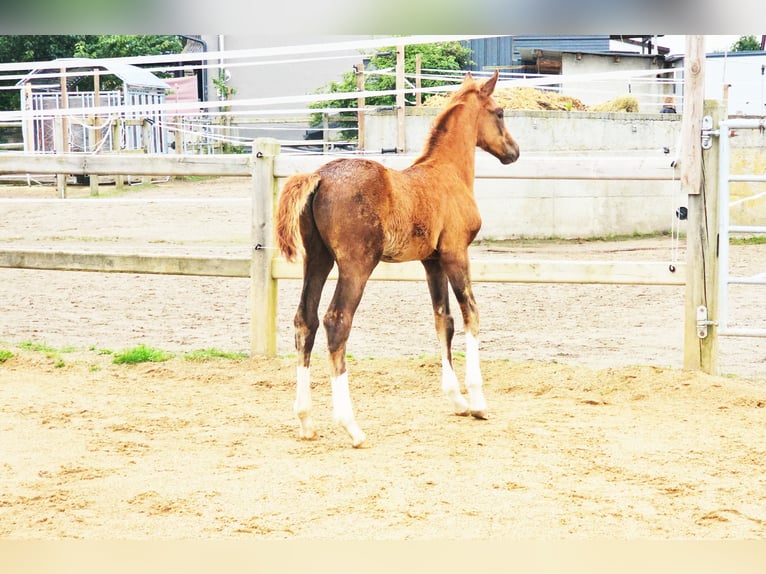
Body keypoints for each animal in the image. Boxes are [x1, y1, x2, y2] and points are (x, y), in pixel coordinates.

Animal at [276, 71, 520, 450]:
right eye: (499, 112)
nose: (514, 151)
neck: (447, 172)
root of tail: (320, 176)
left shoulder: (431, 261)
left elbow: (444, 321)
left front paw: (457, 400)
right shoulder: (455, 253)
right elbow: (471, 315)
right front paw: (478, 402)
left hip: (317, 260)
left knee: (306, 320)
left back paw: (305, 420)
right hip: (356, 264)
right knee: (336, 321)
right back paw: (352, 427)